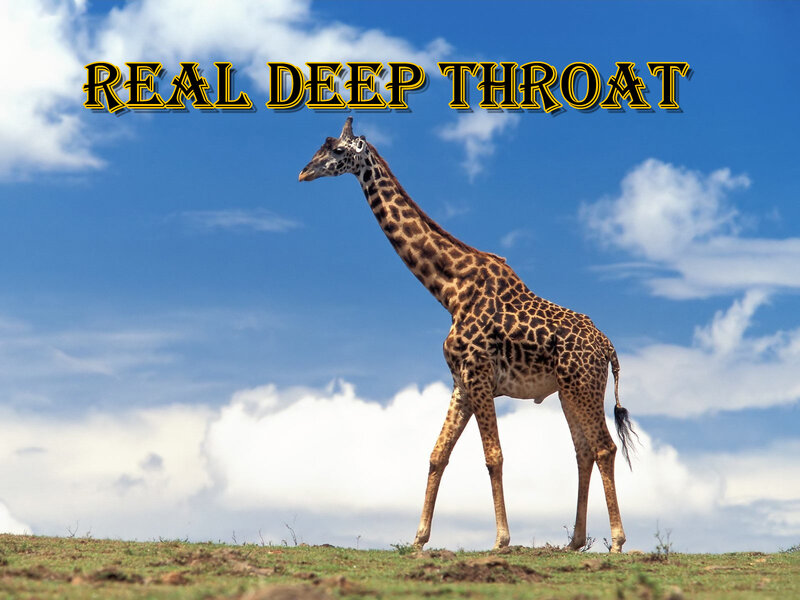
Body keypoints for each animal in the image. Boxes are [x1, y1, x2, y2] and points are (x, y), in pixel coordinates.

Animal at [298, 117, 637, 553]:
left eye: (337, 150)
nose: (304, 172)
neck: (448, 290)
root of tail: (609, 347)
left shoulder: (478, 374)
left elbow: (493, 455)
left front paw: (501, 540)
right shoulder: (461, 381)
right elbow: (437, 454)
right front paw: (419, 539)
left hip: (583, 385)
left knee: (604, 447)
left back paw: (616, 542)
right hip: (569, 390)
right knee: (583, 451)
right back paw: (575, 542)